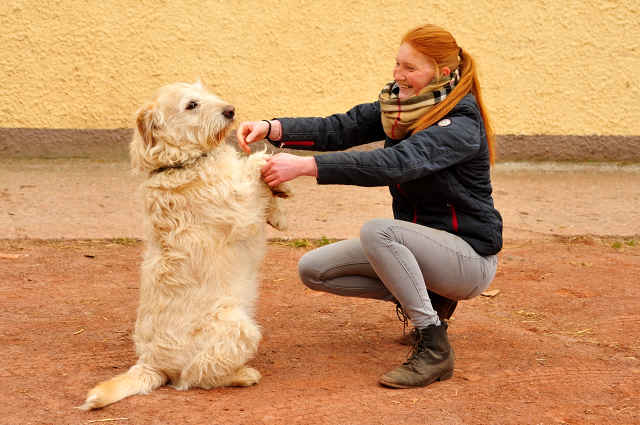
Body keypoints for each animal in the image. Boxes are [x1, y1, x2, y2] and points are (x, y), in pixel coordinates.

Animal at [77, 81, 292, 410]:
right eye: (191, 105)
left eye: (206, 94)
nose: (230, 110)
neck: (182, 163)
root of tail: (151, 364)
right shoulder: (241, 210)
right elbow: (258, 163)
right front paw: (279, 184)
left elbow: (261, 171)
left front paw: (280, 206)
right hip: (239, 328)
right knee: (196, 377)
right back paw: (243, 375)